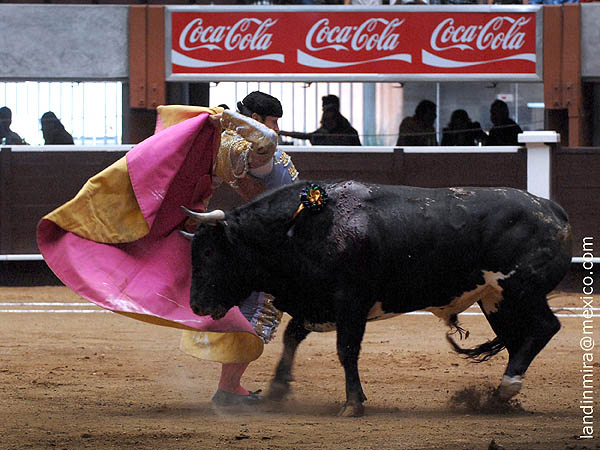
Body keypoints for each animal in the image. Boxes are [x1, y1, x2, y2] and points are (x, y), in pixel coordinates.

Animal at [188, 178, 572, 414]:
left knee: (545, 328)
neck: (303, 226)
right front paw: (279, 387)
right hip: (495, 300)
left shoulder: (350, 301)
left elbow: (346, 350)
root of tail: (553, 210)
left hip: (520, 291)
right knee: (520, 338)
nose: (196, 305)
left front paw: (353, 404)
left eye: (207, 252)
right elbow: (293, 334)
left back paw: (507, 387)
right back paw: (497, 398)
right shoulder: (318, 301)